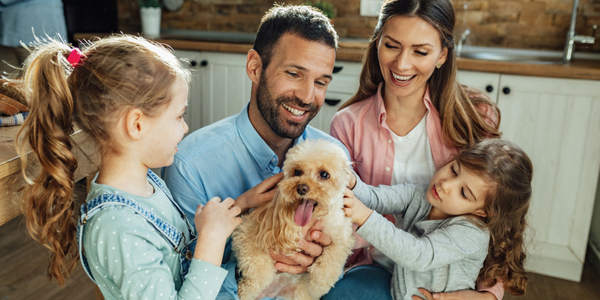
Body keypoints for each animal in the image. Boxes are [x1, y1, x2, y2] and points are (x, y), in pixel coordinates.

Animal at [232, 139, 356, 300]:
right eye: (297, 172)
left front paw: (317, 286)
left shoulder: (342, 234)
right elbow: (258, 267)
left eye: (324, 174)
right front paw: (249, 287)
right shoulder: (246, 231)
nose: (302, 188)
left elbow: (332, 259)